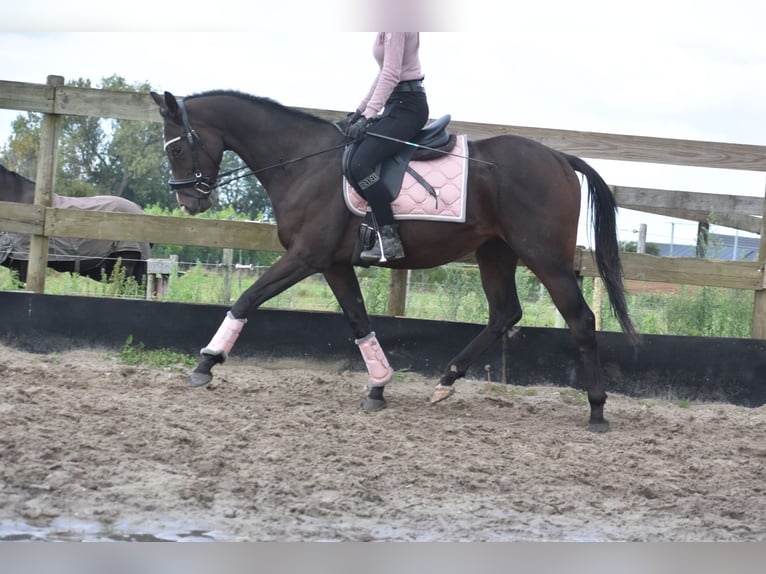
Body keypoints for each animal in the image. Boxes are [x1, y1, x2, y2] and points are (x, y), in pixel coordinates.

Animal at [152, 90, 640, 432]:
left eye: (175, 149)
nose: (188, 201)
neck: (303, 163)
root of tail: (559, 157)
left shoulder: (306, 256)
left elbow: (247, 299)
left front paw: (206, 363)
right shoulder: (333, 264)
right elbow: (358, 321)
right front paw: (378, 387)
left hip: (546, 257)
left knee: (580, 319)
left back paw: (597, 411)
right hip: (495, 252)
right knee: (505, 314)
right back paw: (446, 381)